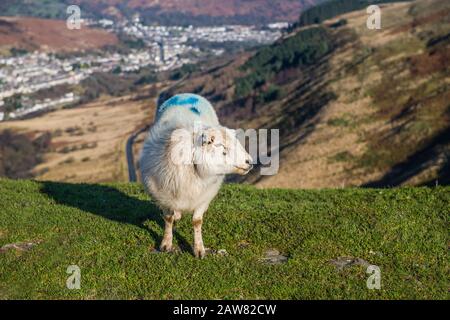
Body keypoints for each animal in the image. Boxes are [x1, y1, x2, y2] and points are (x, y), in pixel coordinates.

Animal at [140, 92, 253, 258]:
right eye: (222, 147)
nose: (250, 162)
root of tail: (186, 94)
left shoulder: (203, 197)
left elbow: (197, 222)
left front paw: (199, 249)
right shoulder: (164, 197)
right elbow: (168, 219)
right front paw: (166, 244)